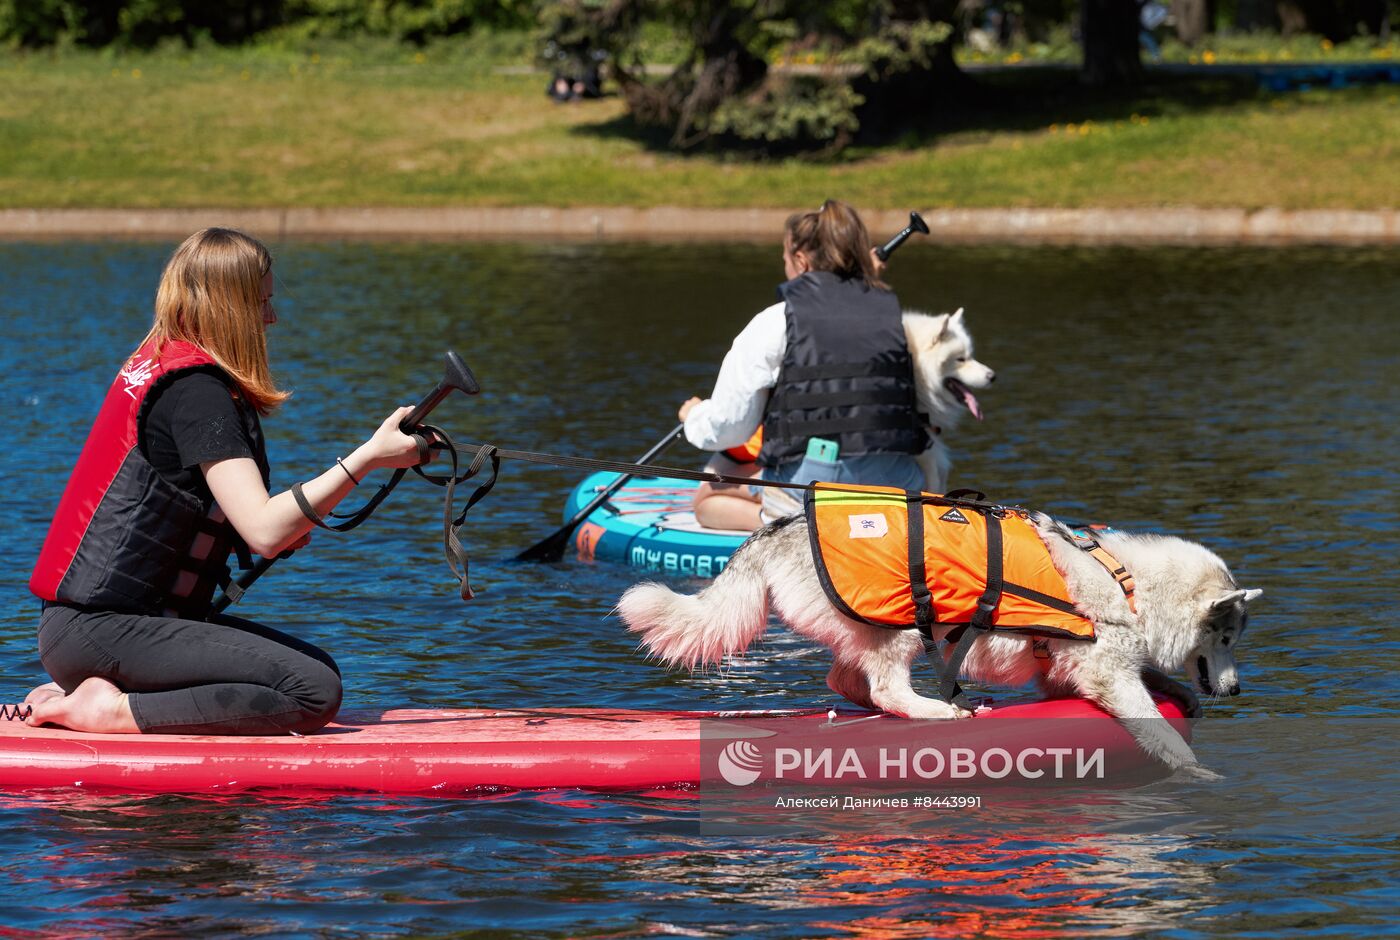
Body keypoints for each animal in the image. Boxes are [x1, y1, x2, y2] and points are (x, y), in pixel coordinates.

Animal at [618, 507, 1265, 778]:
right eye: (1226, 636)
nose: (1236, 690)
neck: (1124, 582)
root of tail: (773, 529)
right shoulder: (1105, 675)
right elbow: (1162, 734)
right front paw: (1199, 773)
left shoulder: (1069, 672)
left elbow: (1157, 683)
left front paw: (1189, 698)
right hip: (904, 622)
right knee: (883, 686)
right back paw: (936, 709)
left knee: (847, 680)